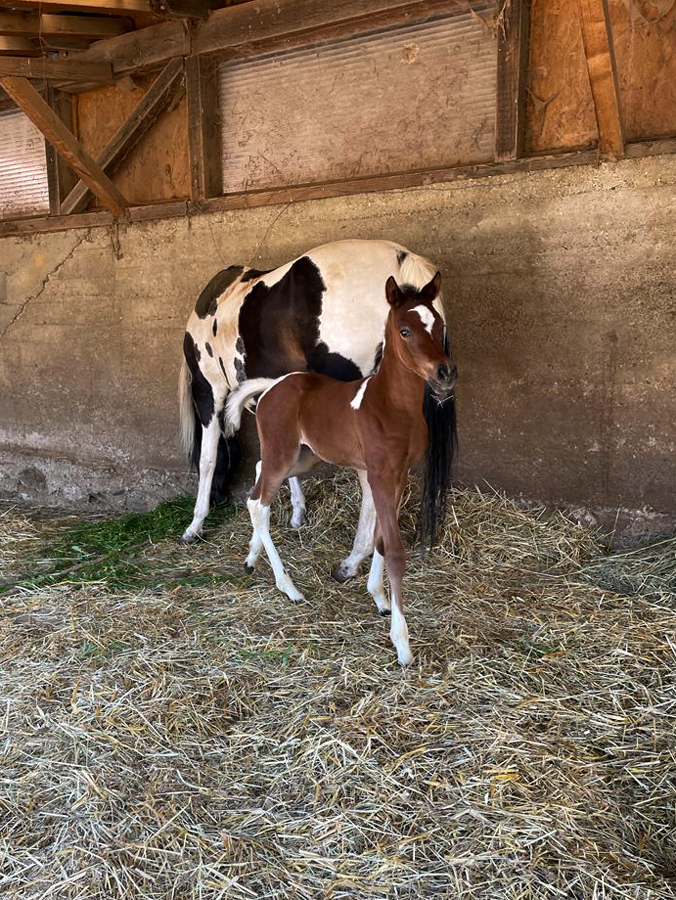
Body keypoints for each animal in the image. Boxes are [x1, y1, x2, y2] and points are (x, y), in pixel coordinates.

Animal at [226, 274, 454, 668]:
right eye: (405, 330)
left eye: (439, 326)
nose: (444, 373)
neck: (391, 405)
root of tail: (271, 386)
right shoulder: (380, 475)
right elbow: (394, 550)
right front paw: (402, 644)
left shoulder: (399, 475)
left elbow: (379, 539)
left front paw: (379, 599)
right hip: (284, 451)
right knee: (258, 502)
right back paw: (289, 588)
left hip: (303, 455)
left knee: (257, 475)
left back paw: (252, 558)